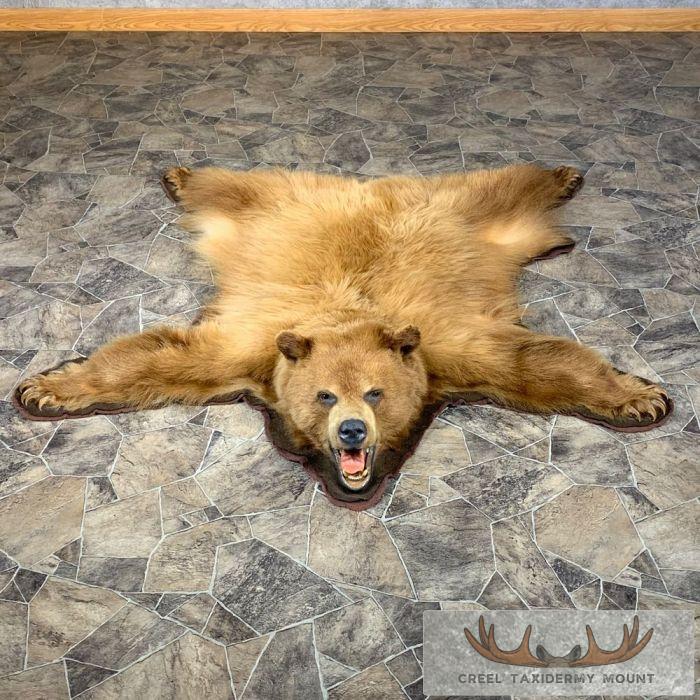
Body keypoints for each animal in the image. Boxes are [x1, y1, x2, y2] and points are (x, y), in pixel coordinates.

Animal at [18, 164, 671, 501]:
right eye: (324, 395)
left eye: (375, 393)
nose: (352, 431)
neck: (349, 315)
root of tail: (368, 185)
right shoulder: (252, 349)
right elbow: (162, 355)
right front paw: (47, 388)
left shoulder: (444, 347)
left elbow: (531, 360)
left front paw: (638, 397)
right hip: (274, 202)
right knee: (227, 186)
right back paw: (179, 176)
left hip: (462, 213)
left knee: (500, 186)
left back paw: (563, 174)